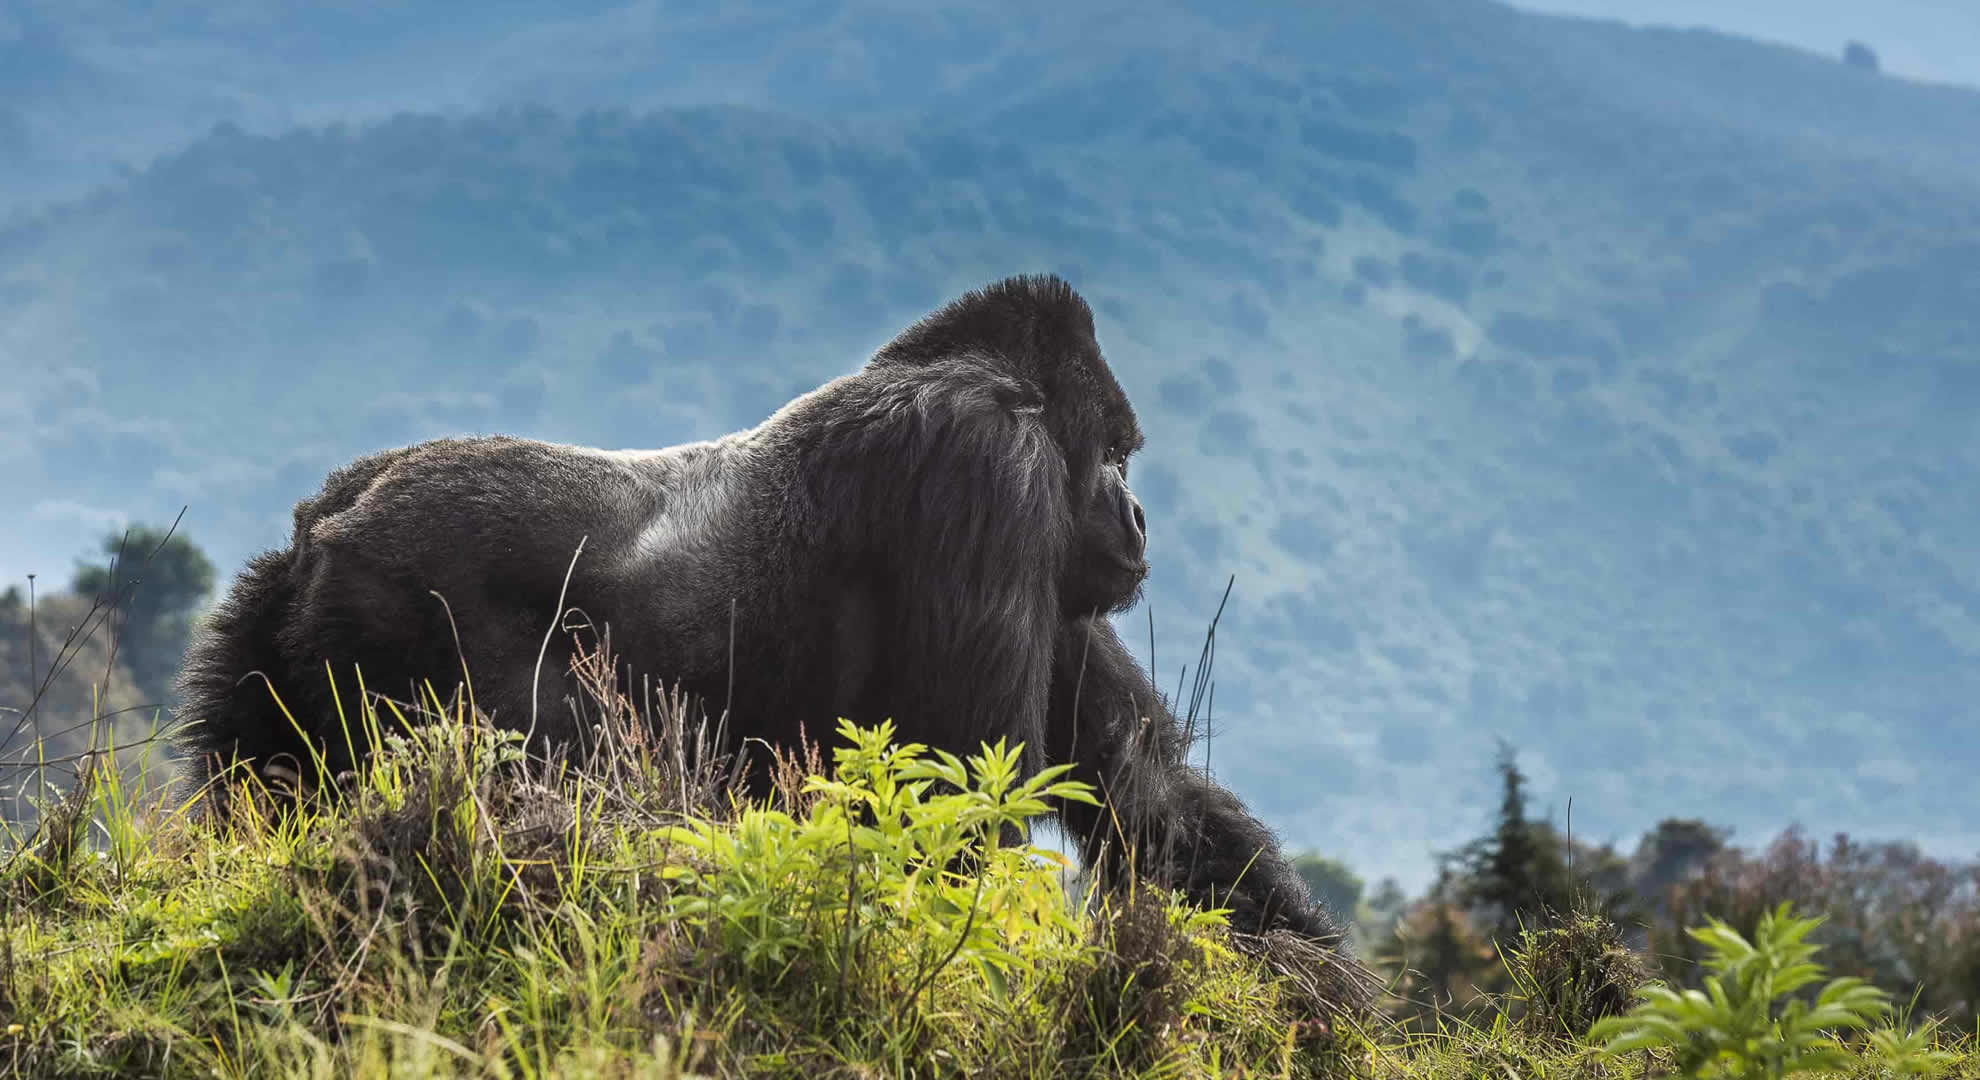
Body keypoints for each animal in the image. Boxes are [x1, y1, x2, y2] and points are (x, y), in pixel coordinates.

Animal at [178, 273, 1354, 947]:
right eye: (1113, 453)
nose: (1139, 518)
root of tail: (322, 521)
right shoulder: (988, 470)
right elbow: (960, 789)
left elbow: (1144, 787)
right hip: (389, 605)